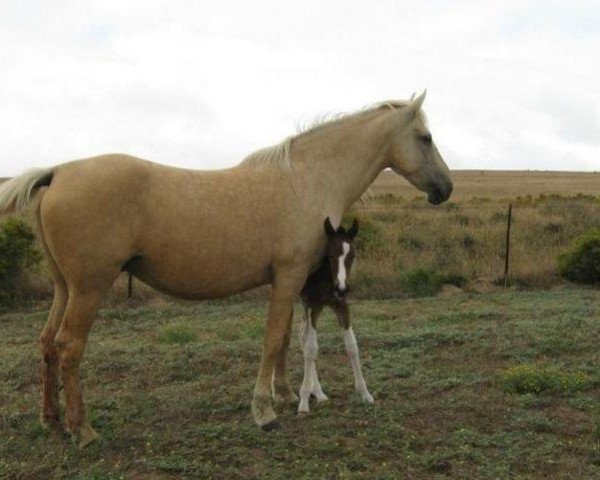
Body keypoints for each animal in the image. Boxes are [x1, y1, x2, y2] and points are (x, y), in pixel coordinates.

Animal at [300, 219, 376, 414]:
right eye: (330, 255)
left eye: (352, 256)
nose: (341, 288)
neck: (326, 279)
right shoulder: (313, 305)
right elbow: (311, 348)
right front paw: (303, 403)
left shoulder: (341, 305)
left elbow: (352, 345)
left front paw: (365, 393)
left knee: (301, 335)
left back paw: (318, 392)